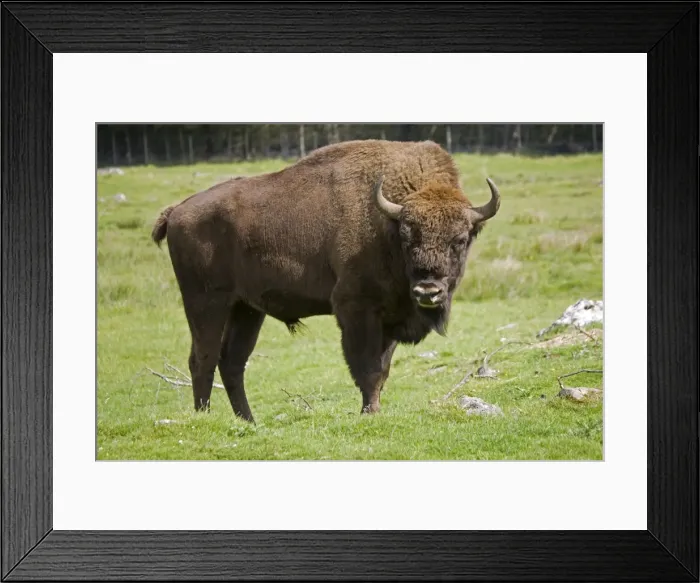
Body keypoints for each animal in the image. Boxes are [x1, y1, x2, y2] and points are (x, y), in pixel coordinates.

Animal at [152, 139, 501, 422]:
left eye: (460, 240)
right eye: (406, 237)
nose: (428, 291)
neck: (385, 223)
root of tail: (176, 211)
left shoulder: (389, 318)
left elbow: (383, 369)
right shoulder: (356, 309)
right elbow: (368, 368)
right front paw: (370, 413)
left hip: (246, 310)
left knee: (232, 362)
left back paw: (249, 422)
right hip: (206, 302)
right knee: (203, 358)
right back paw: (205, 418)